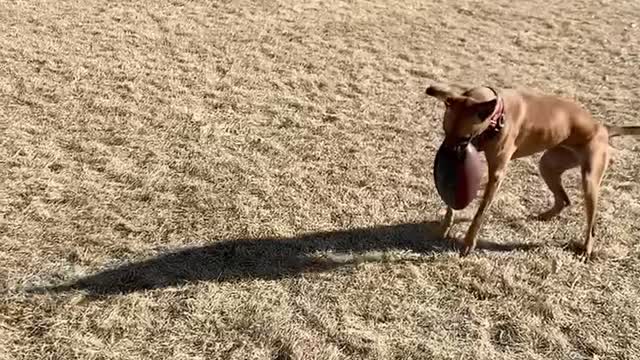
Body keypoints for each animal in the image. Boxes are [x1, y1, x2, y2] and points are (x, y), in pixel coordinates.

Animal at [424, 83, 640, 258]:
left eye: (464, 137)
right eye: (445, 131)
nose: (446, 158)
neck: (497, 116)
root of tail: (603, 127)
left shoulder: (496, 175)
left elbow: (480, 213)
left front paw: (469, 242)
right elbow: (452, 203)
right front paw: (444, 227)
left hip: (589, 181)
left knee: (591, 224)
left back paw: (586, 249)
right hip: (548, 165)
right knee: (564, 200)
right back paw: (543, 216)